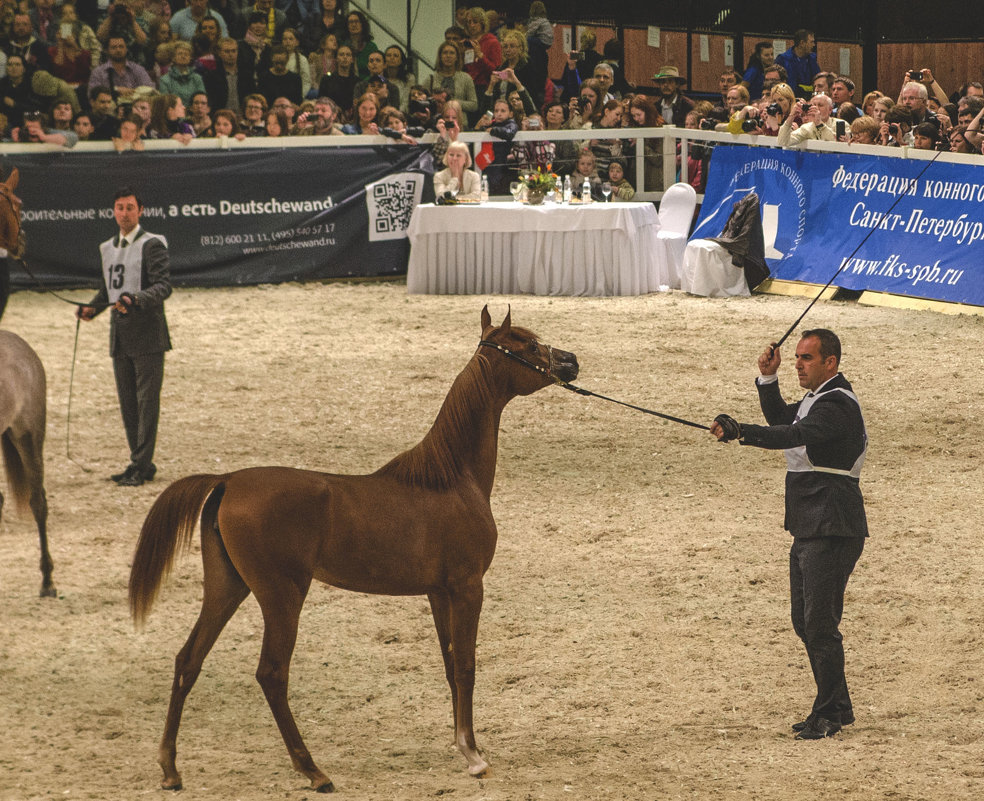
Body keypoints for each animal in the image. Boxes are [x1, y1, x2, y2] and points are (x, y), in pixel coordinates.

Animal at [129, 308, 576, 792]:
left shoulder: (438, 592)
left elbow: (449, 664)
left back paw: (171, 769)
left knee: (188, 660)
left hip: (227, 586)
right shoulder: (467, 587)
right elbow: (466, 666)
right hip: (282, 597)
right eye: (527, 344)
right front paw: (474, 756)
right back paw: (313, 771)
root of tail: (228, 480)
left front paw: (462, 745)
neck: (452, 481)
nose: (570, 361)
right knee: (271, 674)